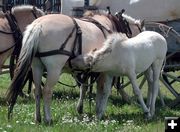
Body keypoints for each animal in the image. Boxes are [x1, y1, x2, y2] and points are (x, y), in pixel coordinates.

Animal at [4, 10, 143, 124]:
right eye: (132, 29)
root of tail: (38, 25)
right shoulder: (103, 71)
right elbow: (102, 90)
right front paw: (99, 111)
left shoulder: (88, 70)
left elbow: (84, 87)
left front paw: (81, 108)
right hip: (54, 69)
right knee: (47, 91)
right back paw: (48, 119)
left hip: (37, 66)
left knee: (37, 90)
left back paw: (37, 118)